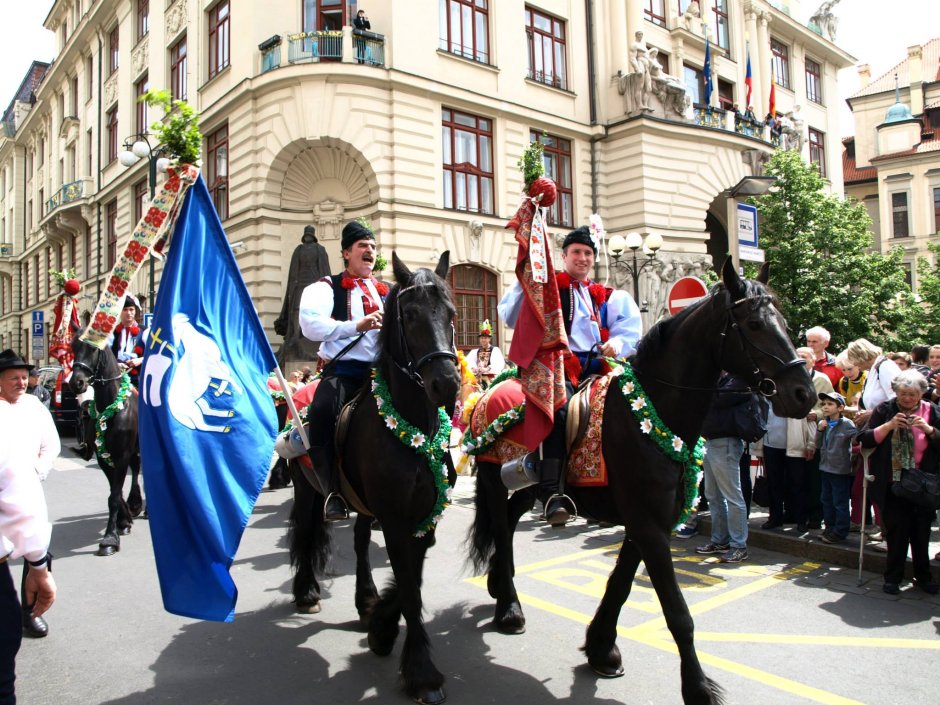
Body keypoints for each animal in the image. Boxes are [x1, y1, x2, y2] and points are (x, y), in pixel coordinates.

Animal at [69, 332, 143, 556]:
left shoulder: (122, 454)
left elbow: (114, 496)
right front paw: (123, 522)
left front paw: (109, 539)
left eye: (94, 349)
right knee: (136, 470)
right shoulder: (104, 456)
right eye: (73, 347)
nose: (77, 383)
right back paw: (135, 505)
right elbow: (114, 492)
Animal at [288, 250, 460, 700]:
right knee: (307, 532)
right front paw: (422, 673)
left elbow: (412, 577)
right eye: (411, 314)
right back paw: (306, 592)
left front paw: (382, 626)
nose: (447, 384)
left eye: (452, 312)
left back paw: (365, 601)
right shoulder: (397, 519)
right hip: (308, 491)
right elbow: (410, 587)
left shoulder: (423, 516)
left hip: (363, 503)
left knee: (362, 541)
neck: (410, 422)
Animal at [470, 262, 816, 704]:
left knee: (512, 522)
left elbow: (620, 584)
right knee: (500, 526)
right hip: (493, 479)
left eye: (784, 324)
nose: (803, 394)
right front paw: (698, 688)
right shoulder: (649, 526)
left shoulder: (649, 521)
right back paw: (509, 609)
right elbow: (677, 613)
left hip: (528, 487)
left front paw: (601, 648)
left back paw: (501, 587)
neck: (651, 412)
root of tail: (495, 385)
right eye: (754, 324)